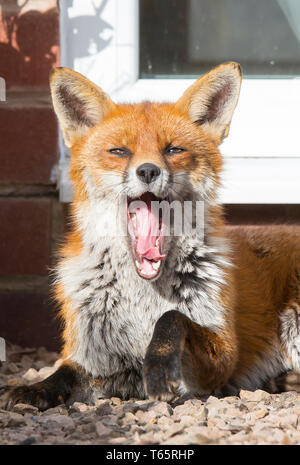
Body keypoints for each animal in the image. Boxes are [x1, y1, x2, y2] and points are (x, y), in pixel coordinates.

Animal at [4, 62, 300, 410]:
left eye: (173, 149)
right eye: (119, 151)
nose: (147, 170)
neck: (141, 299)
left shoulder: (222, 358)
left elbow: (173, 317)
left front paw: (158, 366)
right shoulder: (94, 356)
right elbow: (62, 373)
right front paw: (34, 388)